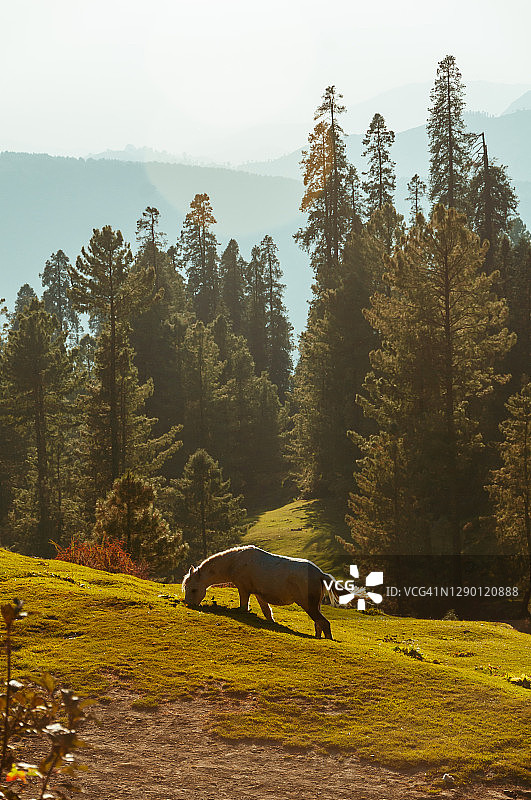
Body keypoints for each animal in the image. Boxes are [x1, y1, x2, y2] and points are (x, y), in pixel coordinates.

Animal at [182, 544, 345, 639]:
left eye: (194, 589)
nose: (189, 604)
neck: (234, 561)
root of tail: (320, 574)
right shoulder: (259, 595)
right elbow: (267, 613)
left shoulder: (244, 589)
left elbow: (243, 608)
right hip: (315, 606)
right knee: (318, 624)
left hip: (309, 606)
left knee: (324, 623)